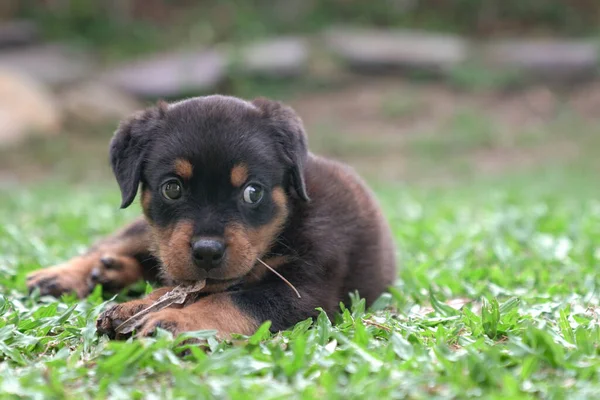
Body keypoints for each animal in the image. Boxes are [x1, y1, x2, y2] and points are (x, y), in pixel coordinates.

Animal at [27, 95, 398, 340]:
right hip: (146, 232)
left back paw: (111, 273)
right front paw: (141, 308)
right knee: (114, 245)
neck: (288, 221)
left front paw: (174, 322)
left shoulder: (306, 291)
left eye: (253, 192)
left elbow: (230, 301)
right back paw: (61, 276)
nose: (207, 252)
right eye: (172, 189)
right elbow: (189, 289)